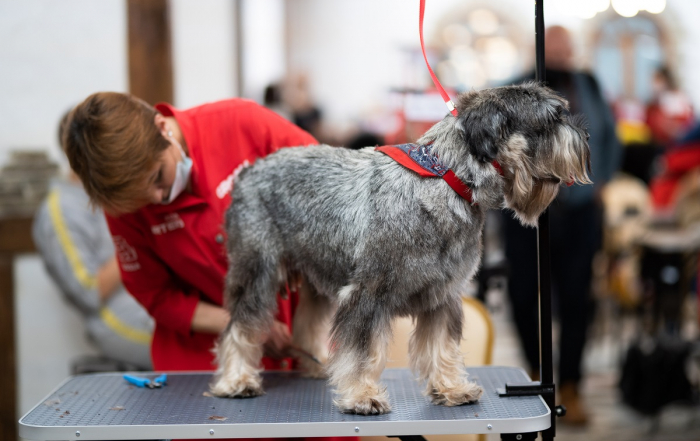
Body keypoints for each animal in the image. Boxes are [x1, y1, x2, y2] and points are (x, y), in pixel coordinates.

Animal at [209, 81, 592, 412]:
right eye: (550, 119)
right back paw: (237, 380)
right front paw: (361, 395)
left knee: (308, 324)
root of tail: (248, 172)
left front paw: (451, 388)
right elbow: (361, 351)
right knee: (240, 326)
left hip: (317, 275)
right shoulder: (367, 294)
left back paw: (317, 365)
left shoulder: (443, 295)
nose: (586, 138)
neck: (447, 179)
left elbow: (442, 345)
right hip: (257, 273)